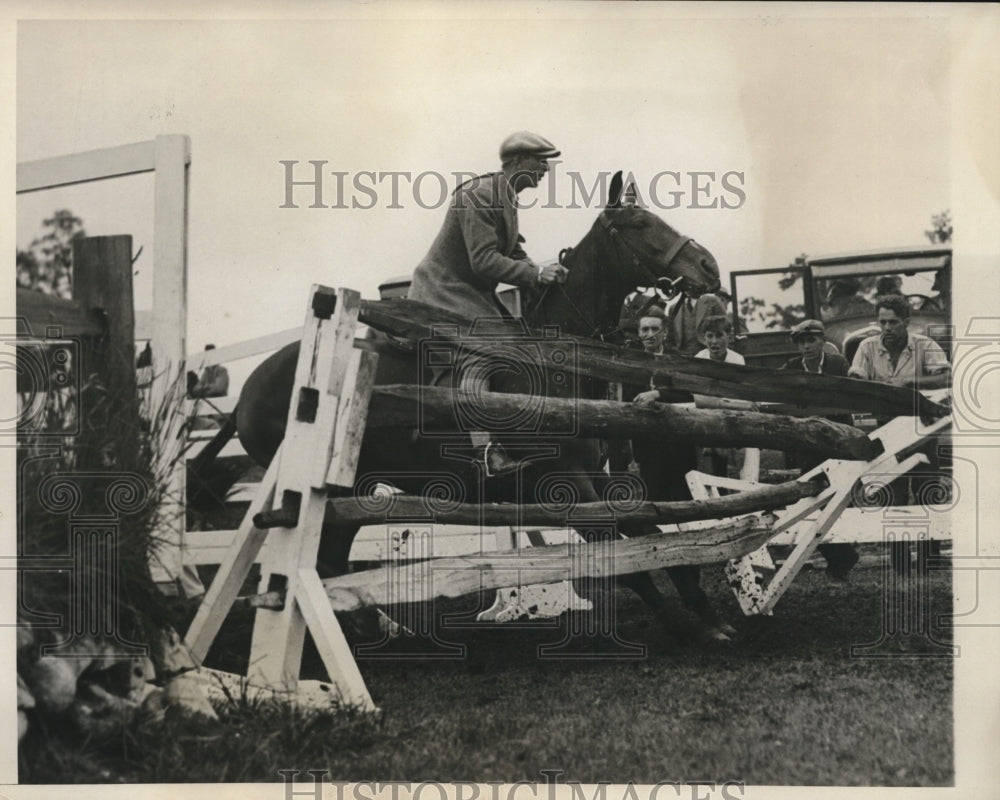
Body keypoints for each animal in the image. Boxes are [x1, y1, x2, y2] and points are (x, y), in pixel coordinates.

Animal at [232, 173, 728, 644]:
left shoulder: (593, 475)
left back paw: (373, 626)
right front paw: (686, 625)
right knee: (323, 561)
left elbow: (649, 535)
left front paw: (705, 612)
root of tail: (251, 386)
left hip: (354, 490)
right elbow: (621, 553)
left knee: (331, 558)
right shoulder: (562, 483)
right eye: (640, 224)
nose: (709, 265)